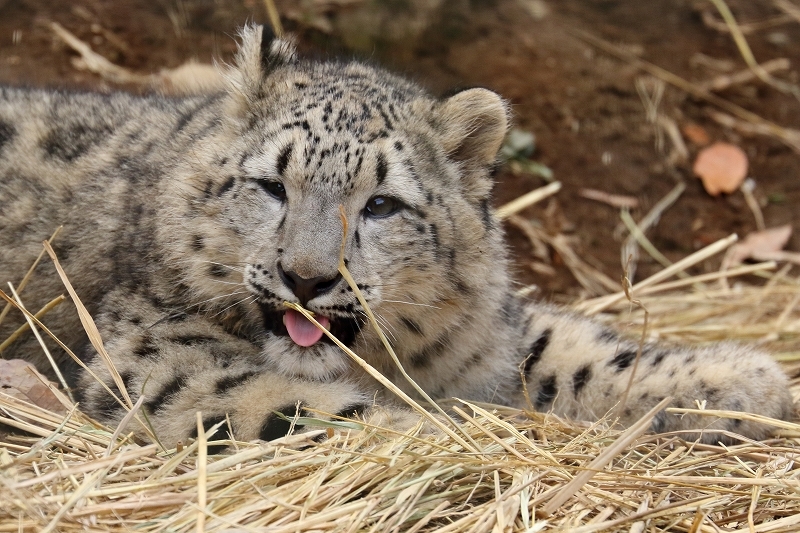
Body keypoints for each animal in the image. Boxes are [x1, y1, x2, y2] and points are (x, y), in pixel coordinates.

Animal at [0, 26, 792, 448]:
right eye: (272, 185)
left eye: (381, 204)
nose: (307, 277)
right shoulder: (163, 359)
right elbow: (316, 409)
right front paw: (458, 440)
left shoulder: (483, 333)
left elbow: (570, 353)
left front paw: (746, 383)